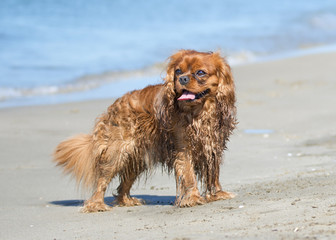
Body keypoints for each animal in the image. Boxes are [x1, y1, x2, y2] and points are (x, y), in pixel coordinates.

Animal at [53, 50, 238, 212]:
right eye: (178, 71)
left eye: (200, 73)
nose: (182, 78)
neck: (199, 112)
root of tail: (114, 106)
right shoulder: (184, 149)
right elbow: (189, 174)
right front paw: (192, 198)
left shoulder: (212, 146)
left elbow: (213, 174)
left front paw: (217, 194)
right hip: (117, 152)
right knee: (102, 180)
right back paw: (96, 205)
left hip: (136, 157)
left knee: (123, 184)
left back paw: (126, 201)